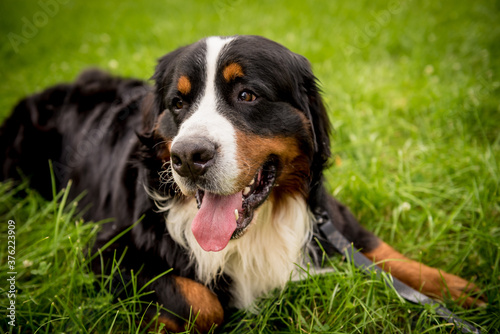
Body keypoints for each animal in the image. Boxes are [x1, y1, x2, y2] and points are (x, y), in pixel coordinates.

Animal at [0, 34, 480, 332]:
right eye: (178, 102)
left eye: (247, 95)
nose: (187, 157)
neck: (257, 227)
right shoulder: (108, 249)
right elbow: (200, 300)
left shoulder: (327, 216)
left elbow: (382, 250)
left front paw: (456, 288)